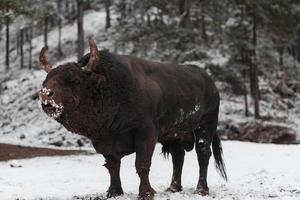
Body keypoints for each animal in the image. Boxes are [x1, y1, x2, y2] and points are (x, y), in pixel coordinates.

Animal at [38, 39, 226, 200]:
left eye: (75, 80)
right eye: (46, 80)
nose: (46, 94)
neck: (108, 87)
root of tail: (211, 84)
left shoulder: (146, 134)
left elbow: (141, 164)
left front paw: (146, 193)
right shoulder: (104, 141)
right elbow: (113, 166)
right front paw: (114, 192)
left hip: (205, 126)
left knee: (203, 154)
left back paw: (201, 190)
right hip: (175, 134)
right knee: (178, 157)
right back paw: (173, 188)